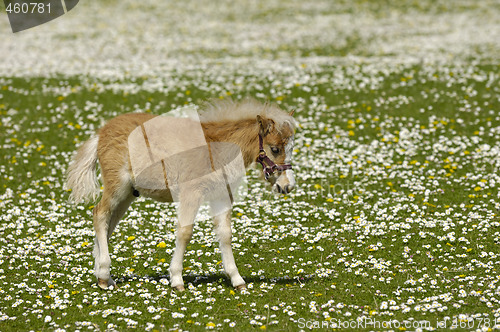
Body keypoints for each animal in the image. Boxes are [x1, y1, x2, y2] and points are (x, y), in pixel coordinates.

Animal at [64, 98, 294, 290]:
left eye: (291, 148)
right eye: (274, 149)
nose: (287, 186)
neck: (216, 148)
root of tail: (101, 133)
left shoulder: (220, 196)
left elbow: (225, 234)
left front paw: (237, 280)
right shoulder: (190, 193)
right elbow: (184, 232)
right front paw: (177, 280)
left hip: (128, 194)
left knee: (108, 223)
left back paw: (103, 276)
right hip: (117, 186)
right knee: (100, 214)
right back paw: (103, 273)